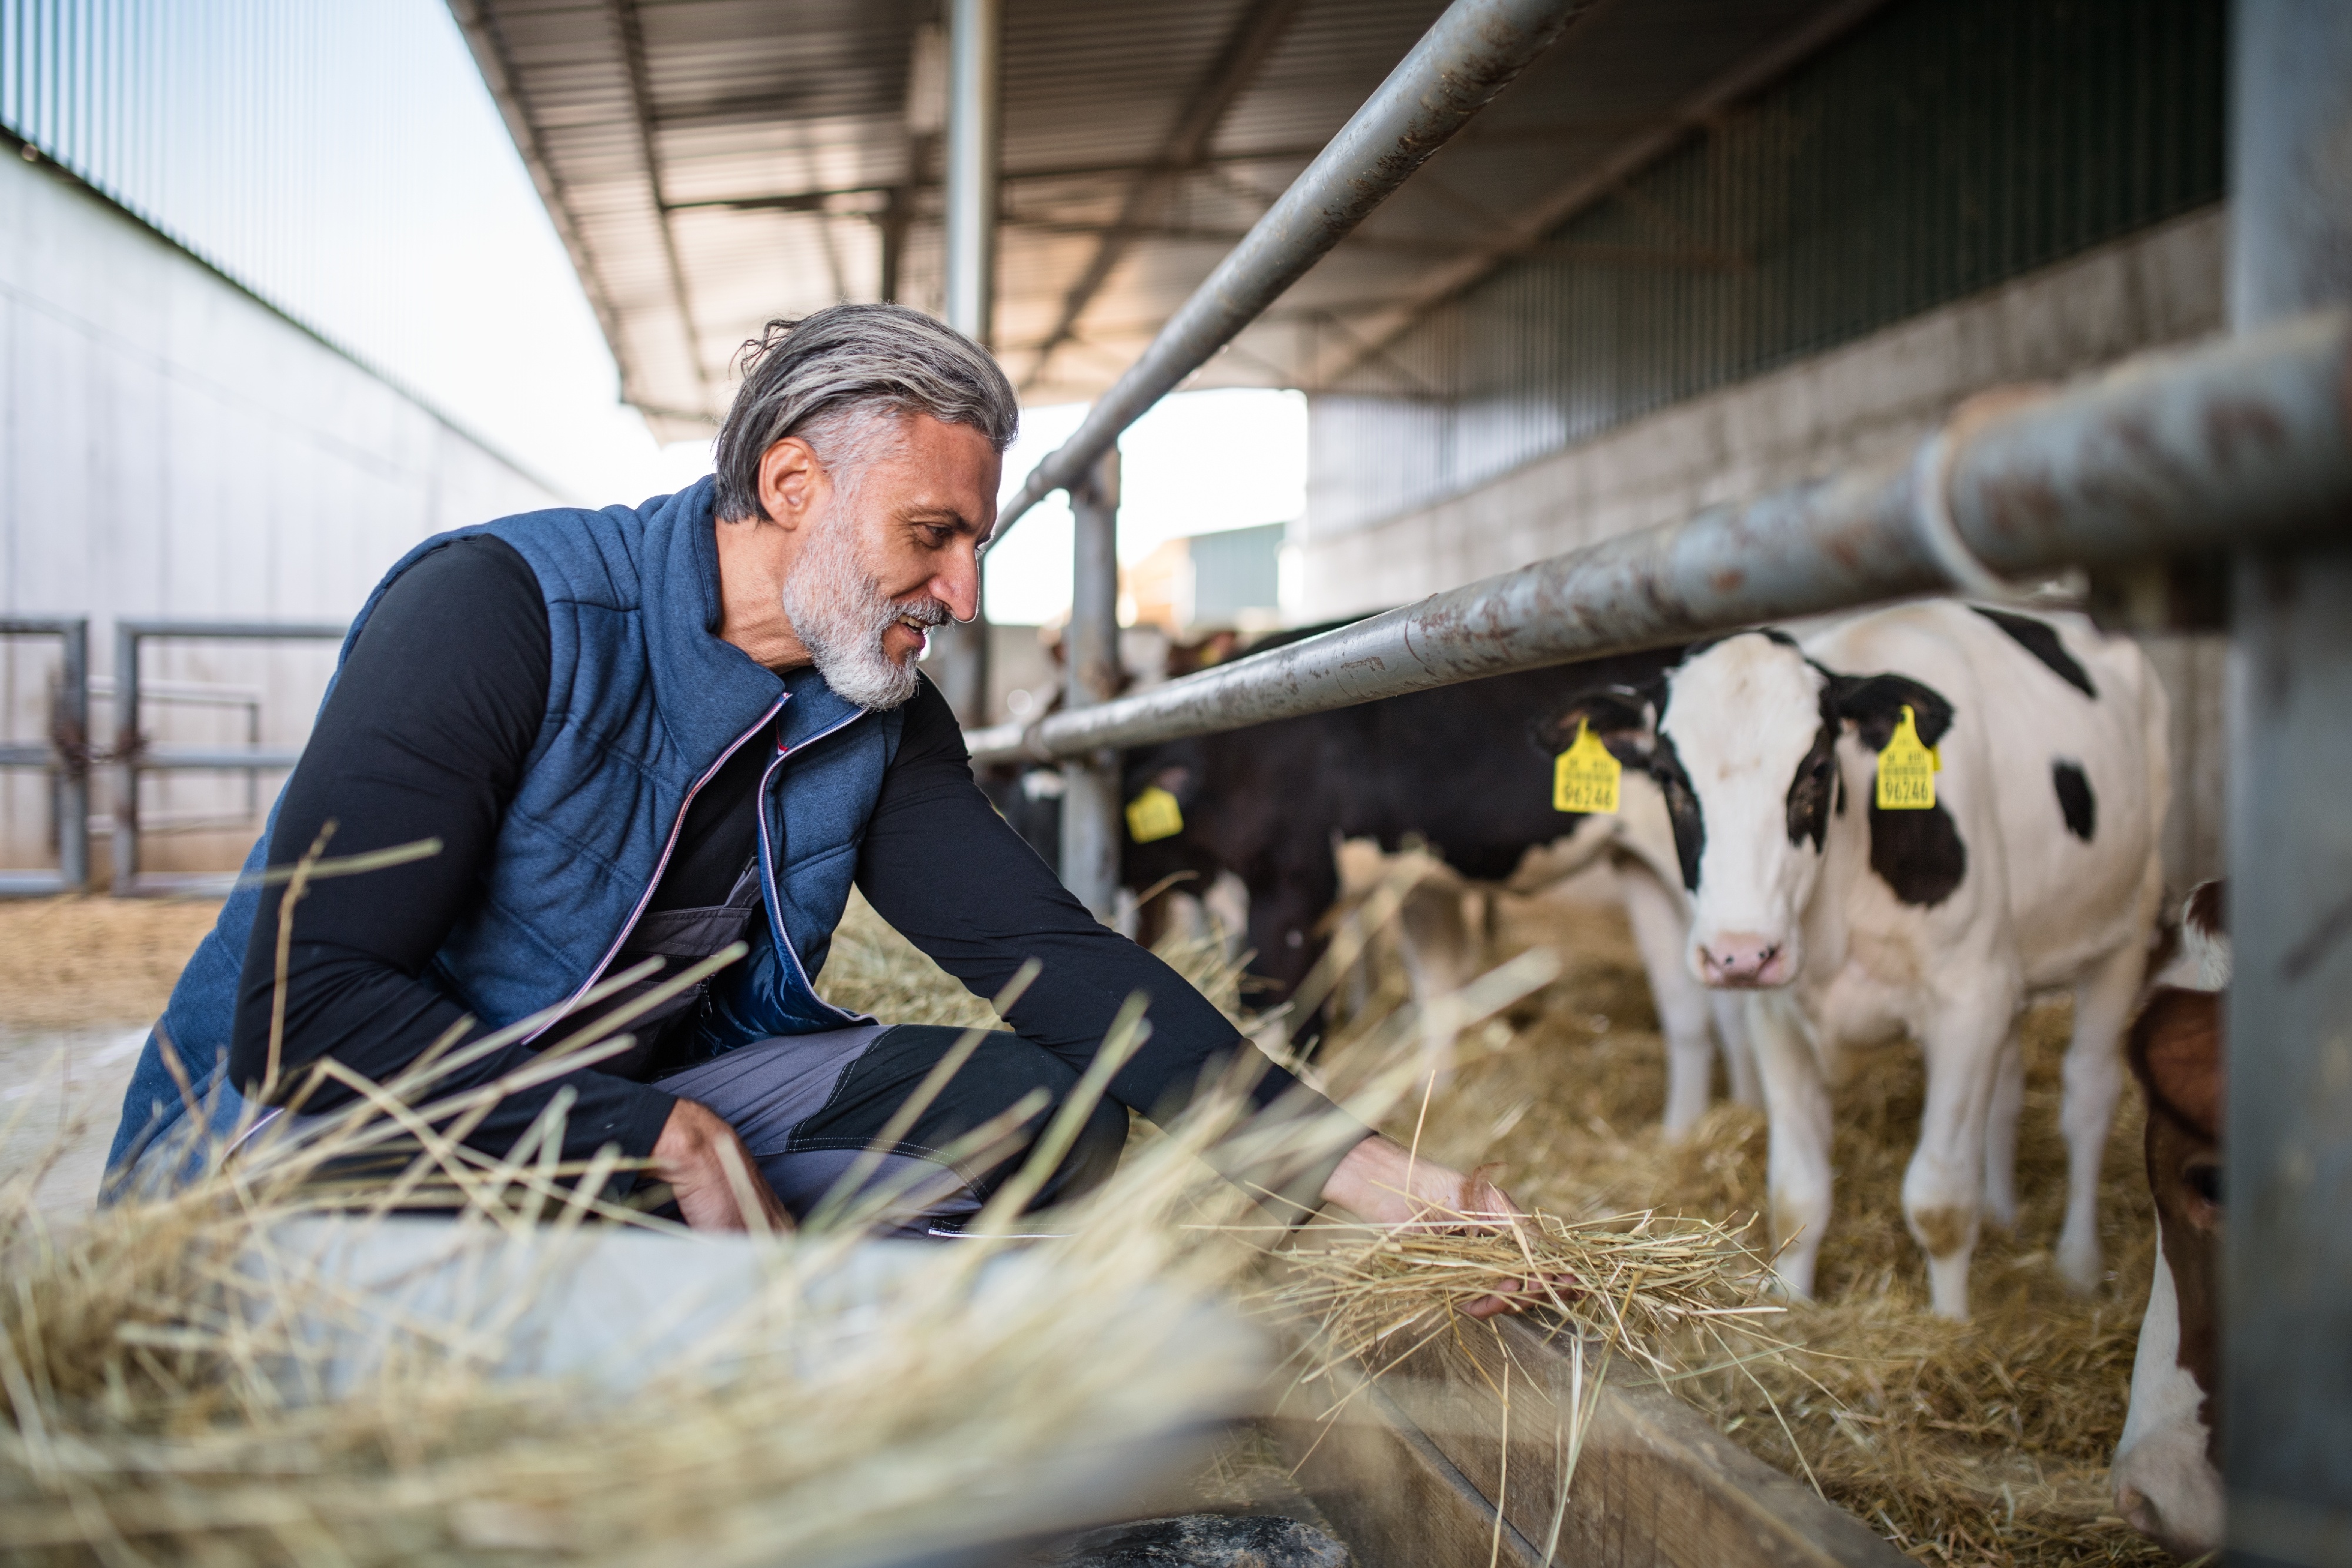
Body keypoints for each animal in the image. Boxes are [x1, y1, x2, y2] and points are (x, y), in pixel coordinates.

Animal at [1543, 606, 2164, 1316]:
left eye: (1816, 770)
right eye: (1670, 779)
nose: (1738, 954)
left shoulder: (1968, 1001)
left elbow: (1939, 1198)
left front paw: (1950, 1326)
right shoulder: (1779, 1015)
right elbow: (1797, 1193)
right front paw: (1790, 1307)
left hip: (2128, 924)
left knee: (2088, 1095)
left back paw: (2079, 1266)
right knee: (2006, 1085)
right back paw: (2005, 1213)